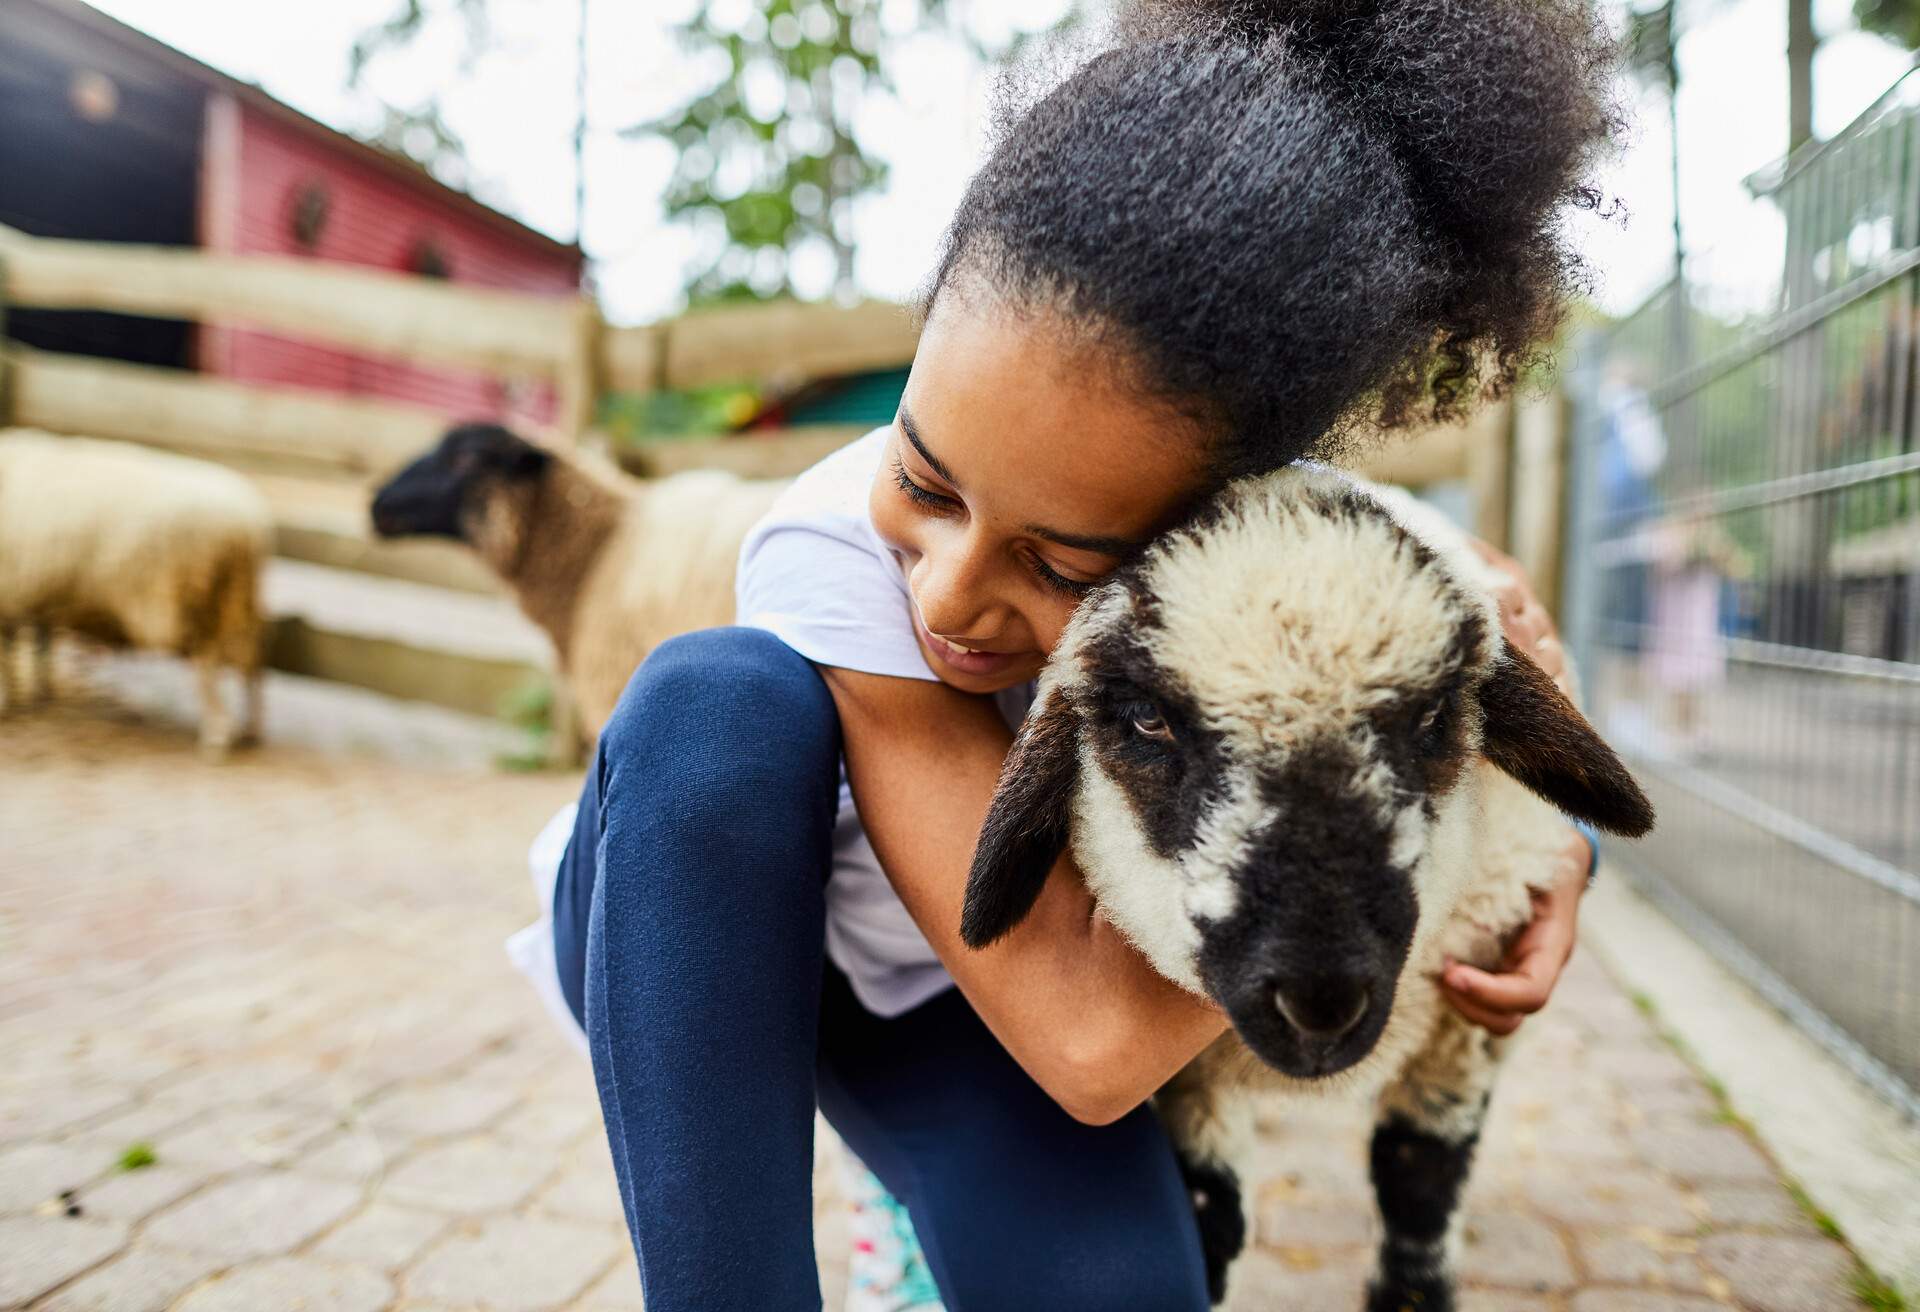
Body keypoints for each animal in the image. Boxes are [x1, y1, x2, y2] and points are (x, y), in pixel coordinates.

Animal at [0, 430, 274, 760]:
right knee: (252, 668)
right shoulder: (32, 596)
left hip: (199, 604)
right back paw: (251, 731)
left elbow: (7, 654)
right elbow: (37, 647)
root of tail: (249, 527)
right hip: (239, 605)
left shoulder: (10, 596)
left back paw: (216, 738)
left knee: (209, 672)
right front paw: (36, 694)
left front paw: (7, 701)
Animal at [967, 464, 1658, 1312]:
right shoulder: (1185, 1088)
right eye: (1148, 721)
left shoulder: (1463, 1031)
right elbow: (1212, 1220)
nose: (1321, 1003)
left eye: (1432, 716)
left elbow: (1419, 1187)